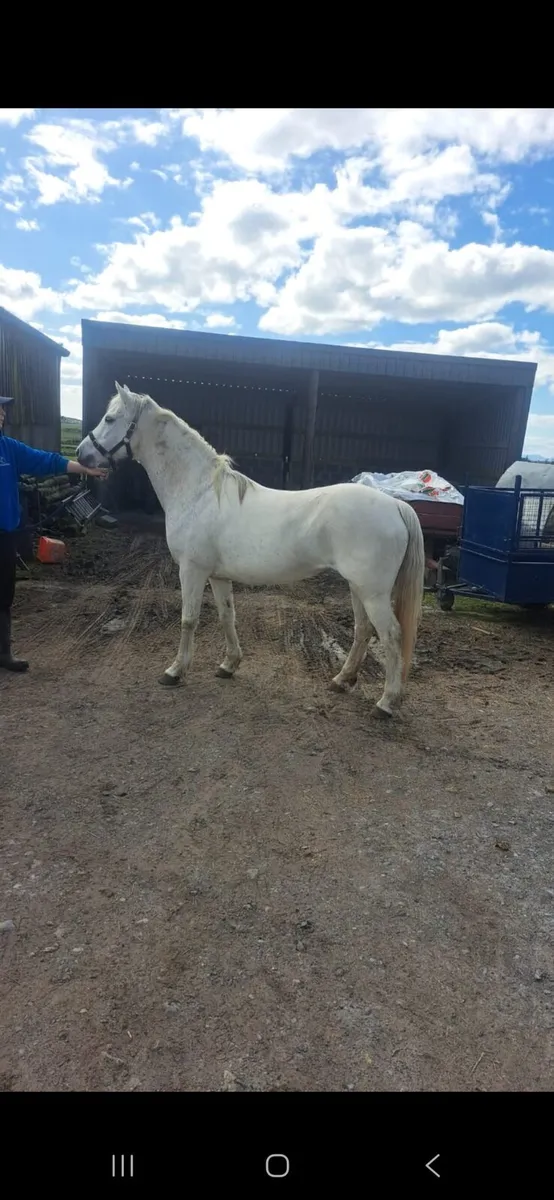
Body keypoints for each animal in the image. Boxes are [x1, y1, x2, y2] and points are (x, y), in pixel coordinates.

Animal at [77, 383, 425, 718]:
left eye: (110, 419)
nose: (81, 454)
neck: (200, 492)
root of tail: (395, 505)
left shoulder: (191, 570)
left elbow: (189, 619)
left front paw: (175, 671)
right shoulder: (217, 576)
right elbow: (226, 616)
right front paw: (228, 665)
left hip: (373, 592)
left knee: (391, 635)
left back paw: (386, 703)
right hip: (357, 587)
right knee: (363, 630)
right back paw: (341, 680)